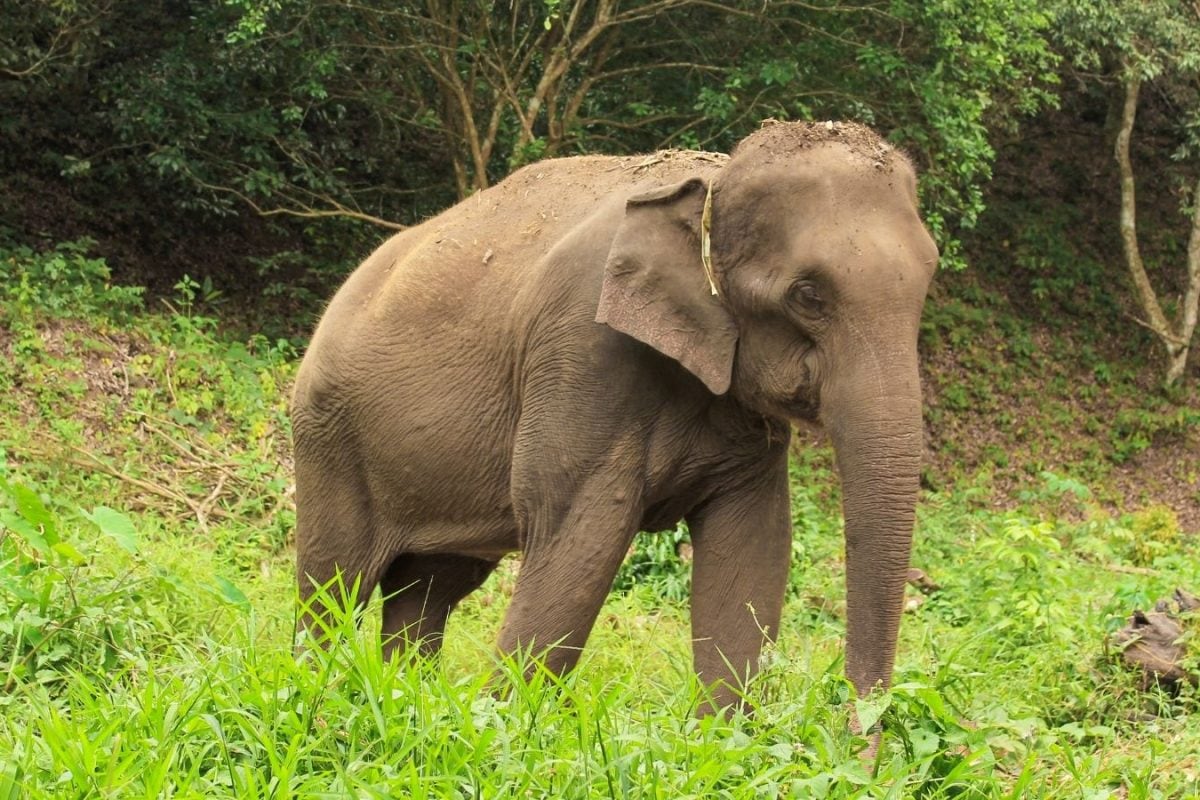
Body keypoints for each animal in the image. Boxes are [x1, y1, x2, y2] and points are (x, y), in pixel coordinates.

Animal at [292, 120, 937, 709]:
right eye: (808, 295)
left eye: (929, 278)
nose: (859, 729)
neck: (713, 180)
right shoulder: (583, 350)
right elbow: (579, 532)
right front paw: (501, 723)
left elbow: (754, 541)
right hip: (329, 440)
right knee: (333, 586)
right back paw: (317, 692)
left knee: (428, 589)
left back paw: (405, 697)